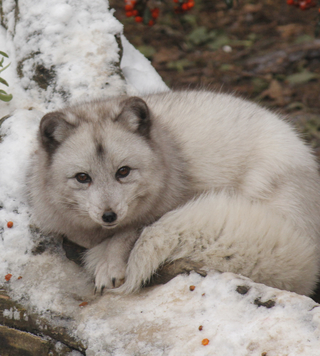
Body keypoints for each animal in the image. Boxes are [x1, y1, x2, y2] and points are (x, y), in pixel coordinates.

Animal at [27, 90, 320, 296]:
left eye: (123, 172)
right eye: (82, 177)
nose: (109, 215)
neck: (169, 155)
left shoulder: (161, 209)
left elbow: (129, 232)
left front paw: (109, 264)